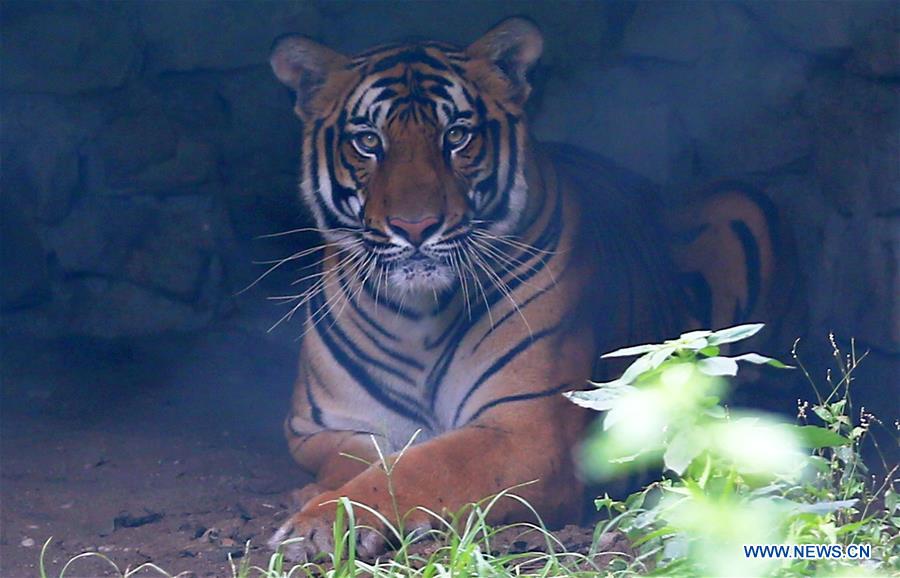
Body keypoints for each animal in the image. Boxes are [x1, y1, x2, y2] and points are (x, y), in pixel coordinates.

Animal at [265, 17, 791, 560]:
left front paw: (318, 524)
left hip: (741, 205)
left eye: (457, 136)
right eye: (368, 141)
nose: (415, 226)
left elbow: (419, 466)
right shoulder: (316, 428)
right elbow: (365, 457)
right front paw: (314, 499)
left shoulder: (529, 428)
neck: (417, 316)